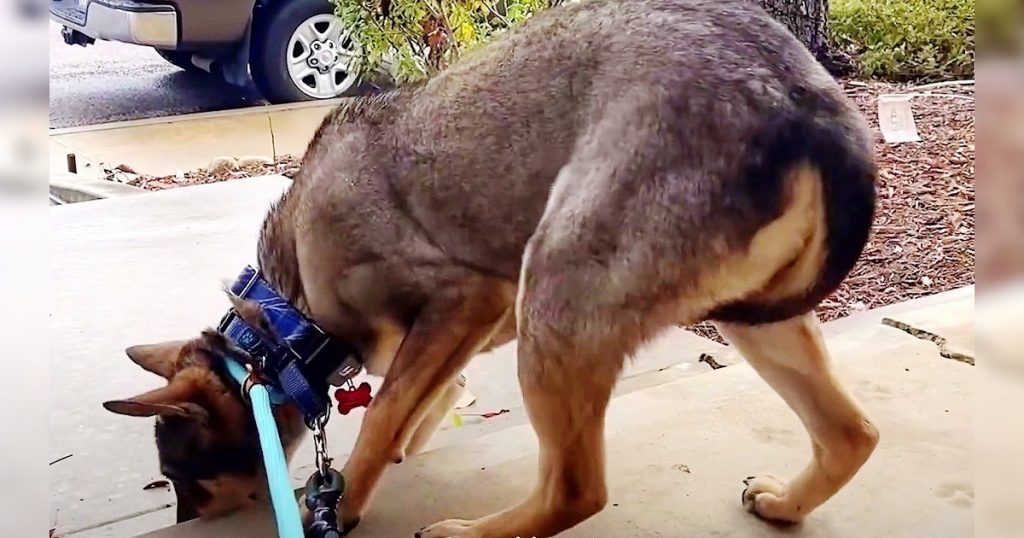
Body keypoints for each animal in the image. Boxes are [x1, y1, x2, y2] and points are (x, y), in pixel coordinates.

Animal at [103, 2, 880, 532]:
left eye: (180, 473)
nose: (184, 520)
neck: (285, 320)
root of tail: (807, 105)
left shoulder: (466, 298)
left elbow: (384, 414)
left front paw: (344, 500)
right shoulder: (456, 335)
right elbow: (419, 401)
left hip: (555, 300)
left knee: (576, 490)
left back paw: (472, 532)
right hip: (752, 320)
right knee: (853, 435)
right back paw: (787, 501)